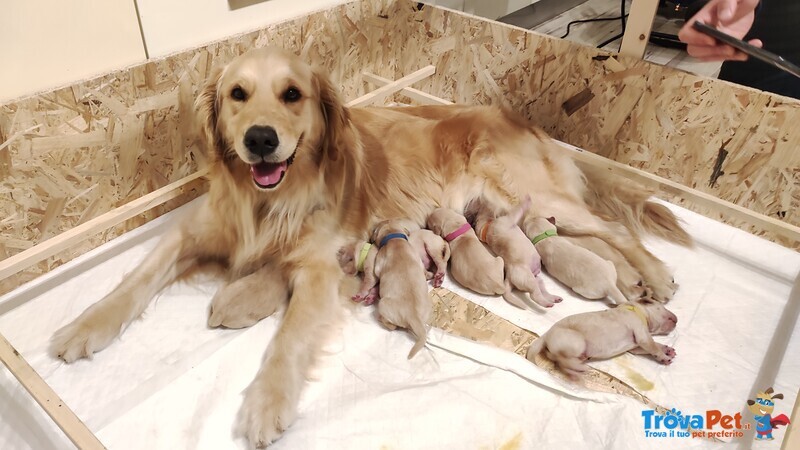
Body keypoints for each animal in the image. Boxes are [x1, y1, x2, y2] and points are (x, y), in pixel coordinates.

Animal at [370, 219, 432, 358]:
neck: (394, 238)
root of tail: (413, 316)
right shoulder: (417, 258)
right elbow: (424, 270)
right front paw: (428, 274)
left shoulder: (379, 262)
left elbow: (377, 272)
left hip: (383, 304)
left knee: (392, 326)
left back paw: (381, 318)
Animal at [528, 300, 680, 378]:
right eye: (664, 307)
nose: (677, 319)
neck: (637, 311)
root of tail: (547, 334)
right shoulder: (642, 335)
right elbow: (653, 346)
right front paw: (664, 357)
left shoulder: (637, 347)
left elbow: (654, 345)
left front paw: (667, 349)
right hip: (577, 342)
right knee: (561, 360)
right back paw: (579, 369)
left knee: (558, 360)